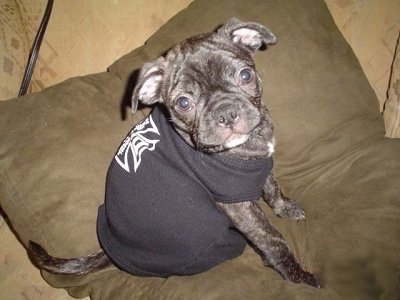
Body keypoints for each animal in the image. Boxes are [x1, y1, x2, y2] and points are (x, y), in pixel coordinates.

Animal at [29, 18, 320, 288]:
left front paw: (284, 207)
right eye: (183, 103)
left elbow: (271, 186)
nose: (226, 113)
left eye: (245, 76)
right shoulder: (238, 205)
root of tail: (113, 253)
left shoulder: (259, 165)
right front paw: (298, 277)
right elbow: (272, 239)